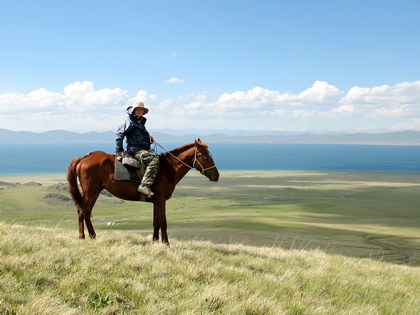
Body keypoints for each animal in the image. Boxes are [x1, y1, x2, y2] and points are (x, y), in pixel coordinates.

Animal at [66, 139, 220, 246]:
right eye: (205, 157)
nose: (216, 176)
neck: (168, 169)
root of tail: (84, 157)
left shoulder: (156, 201)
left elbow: (156, 222)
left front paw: (155, 241)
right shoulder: (161, 200)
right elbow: (163, 222)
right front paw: (166, 244)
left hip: (96, 191)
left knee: (87, 212)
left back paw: (93, 236)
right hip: (90, 191)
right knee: (82, 211)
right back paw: (82, 237)